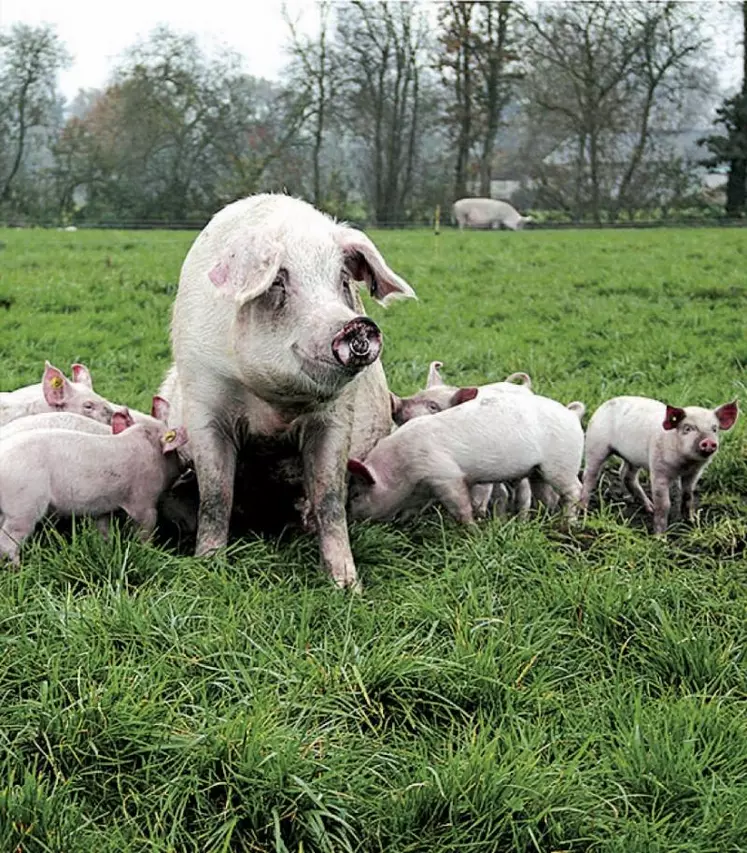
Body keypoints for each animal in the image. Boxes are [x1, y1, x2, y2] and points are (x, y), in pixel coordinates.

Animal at [0, 402, 187, 564]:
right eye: (175, 452)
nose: (184, 466)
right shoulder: (144, 500)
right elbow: (145, 530)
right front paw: (147, 550)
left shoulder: (103, 507)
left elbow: (104, 531)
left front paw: (106, 550)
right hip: (23, 506)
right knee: (8, 542)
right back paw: (17, 569)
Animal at [163, 194, 414, 588]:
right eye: (279, 282)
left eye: (343, 280)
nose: (356, 324)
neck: (276, 410)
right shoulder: (204, 397)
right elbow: (216, 496)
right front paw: (208, 568)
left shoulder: (337, 416)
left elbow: (329, 499)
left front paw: (348, 587)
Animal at [348, 390, 588, 524]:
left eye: (356, 494)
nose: (351, 517)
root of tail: (572, 414)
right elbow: (414, 507)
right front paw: (406, 521)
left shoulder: (444, 474)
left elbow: (461, 506)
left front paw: (473, 530)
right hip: (538, 470)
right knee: (546, 494)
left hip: (561, 464)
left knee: (574, 489)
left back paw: (568, 524)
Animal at [580, 394, 740, 532]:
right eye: (687, 428)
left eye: (714, 429)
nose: (709, 442)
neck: (685, 464)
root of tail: (603, 405)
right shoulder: (658, 469)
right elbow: (664, 504)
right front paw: (660, 537)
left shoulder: (694, 472)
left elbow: (688, 495)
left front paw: (691, 522)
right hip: (595, 445)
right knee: (589, 475)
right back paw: (584, 509)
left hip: (633, 458)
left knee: (626, 475)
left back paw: (649, 508)